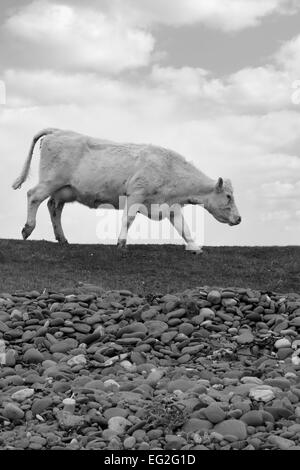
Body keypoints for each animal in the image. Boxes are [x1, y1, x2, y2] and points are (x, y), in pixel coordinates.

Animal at [12, 127, 241, 253]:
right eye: (228, 196)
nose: (239, 219)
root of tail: (58, 131)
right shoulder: (136, 194)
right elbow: (128, 219)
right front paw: (121, 242)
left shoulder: (170, 204)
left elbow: (182, 226)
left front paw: (195, 247)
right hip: (51, 181)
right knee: (33, 196)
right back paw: (28, 228)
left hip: (64, 189)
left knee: (54, 207)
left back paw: (62, 238)